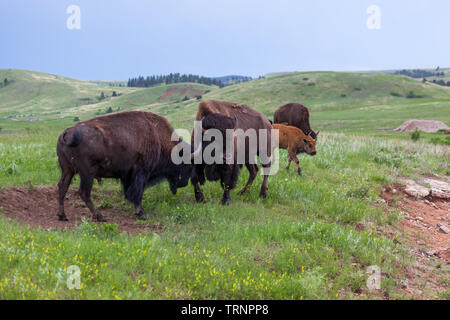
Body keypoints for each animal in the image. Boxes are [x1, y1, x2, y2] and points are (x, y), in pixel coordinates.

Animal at [56, 111, 192, 221]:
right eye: (186, 163)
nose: (184, 183)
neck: (158, 136)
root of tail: (66, 132)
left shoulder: (128, 175)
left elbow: (129, 191)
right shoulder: (141, 172)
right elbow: (137, 192)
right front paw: (141, 214)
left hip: (68, 170)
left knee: (62, 187)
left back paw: (62, 216)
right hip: (88, 172)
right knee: (84, 192)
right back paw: (100, 217)